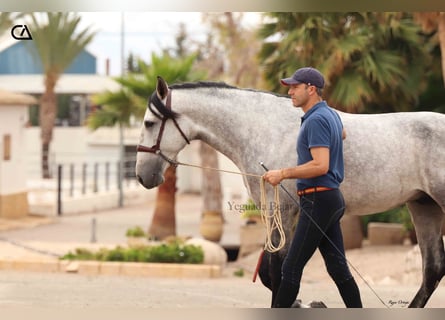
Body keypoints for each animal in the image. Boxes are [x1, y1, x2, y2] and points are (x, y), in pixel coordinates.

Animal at [136, 75, 444, 308]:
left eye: (149, 123)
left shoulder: (283, 211)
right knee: (432, 270)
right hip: (423, 206)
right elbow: (271, 273)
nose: (142, 175)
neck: (263, 129)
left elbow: (279, 271)